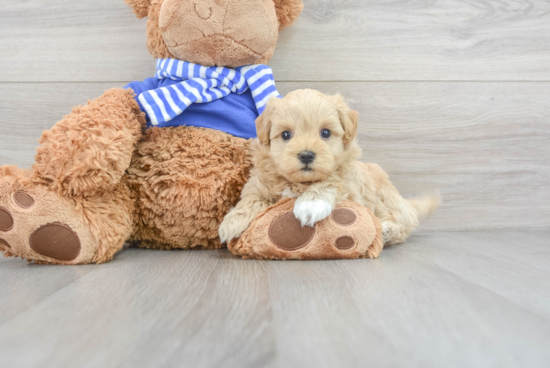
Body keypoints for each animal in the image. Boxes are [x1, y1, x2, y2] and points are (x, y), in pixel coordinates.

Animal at [220, 88, 440, 246]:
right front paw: (231, 222)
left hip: (384, 196)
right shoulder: (259, 185)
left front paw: (311, 204)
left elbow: (330, 181)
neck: (301, 183)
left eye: (325, 133)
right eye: (285, 135)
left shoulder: (349, 183)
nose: (306, 155)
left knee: (401, 223)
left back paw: (386, 230)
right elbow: (251, 199)